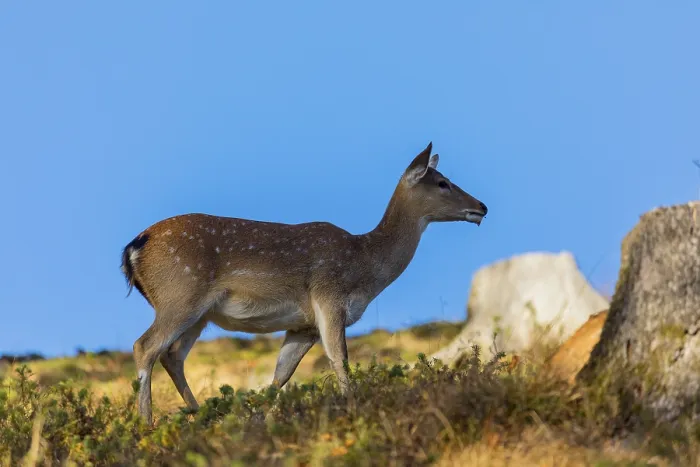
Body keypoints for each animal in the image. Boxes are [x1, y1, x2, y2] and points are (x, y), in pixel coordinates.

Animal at [120, 142, 488, 424]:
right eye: (442, 182)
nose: (482, 206)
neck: (365, 267)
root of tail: (133, 248)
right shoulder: (329, 297)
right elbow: (340, 362)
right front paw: (355, 412)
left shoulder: (303, 325)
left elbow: (280, 376)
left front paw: (259, 422)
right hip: (180, 295)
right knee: (145, 346)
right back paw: (147, 425)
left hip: (200, 314)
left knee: (172, 355)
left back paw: (203, 416)